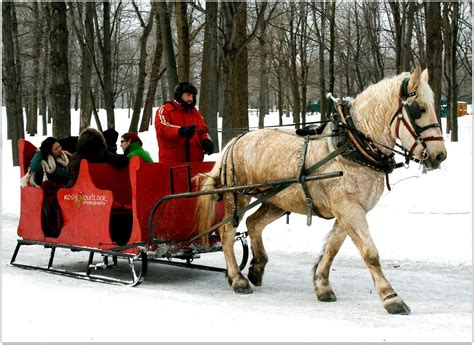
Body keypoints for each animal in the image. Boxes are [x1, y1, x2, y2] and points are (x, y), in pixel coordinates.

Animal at [194, 66, 446, 314]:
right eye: (420, 109)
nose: (440, 155)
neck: (352, 145)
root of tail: (235, 140)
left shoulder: (350, 210)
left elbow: (332, 248)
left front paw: (322, 285)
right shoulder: (349, 209)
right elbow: (370, 253)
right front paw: (391, 297)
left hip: (277, 200)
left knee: (254, 224)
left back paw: (256, 267)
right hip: (236, 196)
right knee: (227, 233)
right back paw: (237, 279)